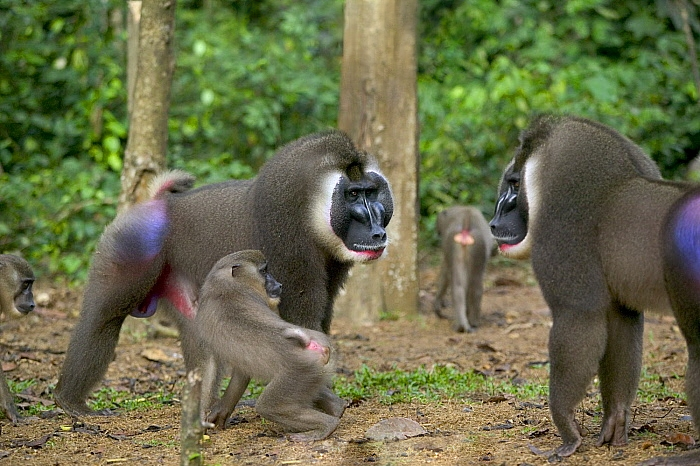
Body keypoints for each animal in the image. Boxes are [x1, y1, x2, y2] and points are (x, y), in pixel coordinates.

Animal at [53, 129, 394, 416]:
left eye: (372, 192)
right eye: (352, 195)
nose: (377, 232)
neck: (313, 204)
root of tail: (158, 204)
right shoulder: (289, 242)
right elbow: (303, 321)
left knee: (202, 343)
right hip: (131, 252)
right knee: (102, 321)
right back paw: (70, 402)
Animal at [194, 251, 348, 440]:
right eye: (264, 271)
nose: (278, 284)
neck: (225, 284)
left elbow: (209, 368)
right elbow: (240, 373)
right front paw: (220, 412)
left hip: (299, 371)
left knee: (270, 406)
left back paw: (326, 426)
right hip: (314, 370)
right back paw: (337, 407)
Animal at [434, 206, 494, 334]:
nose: (438, 232)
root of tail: (466, 220)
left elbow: (445, 273)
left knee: (458, 285)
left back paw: (462, 323)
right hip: (476, 245)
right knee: (475, 286)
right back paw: (473, 321)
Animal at [490, 115, 700, 462]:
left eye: (514, 184)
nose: (494, 221)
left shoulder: (563, 227)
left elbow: (580, 320)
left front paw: (567, 430)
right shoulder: (619, 302)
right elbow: (621, 329)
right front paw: (614, 421)